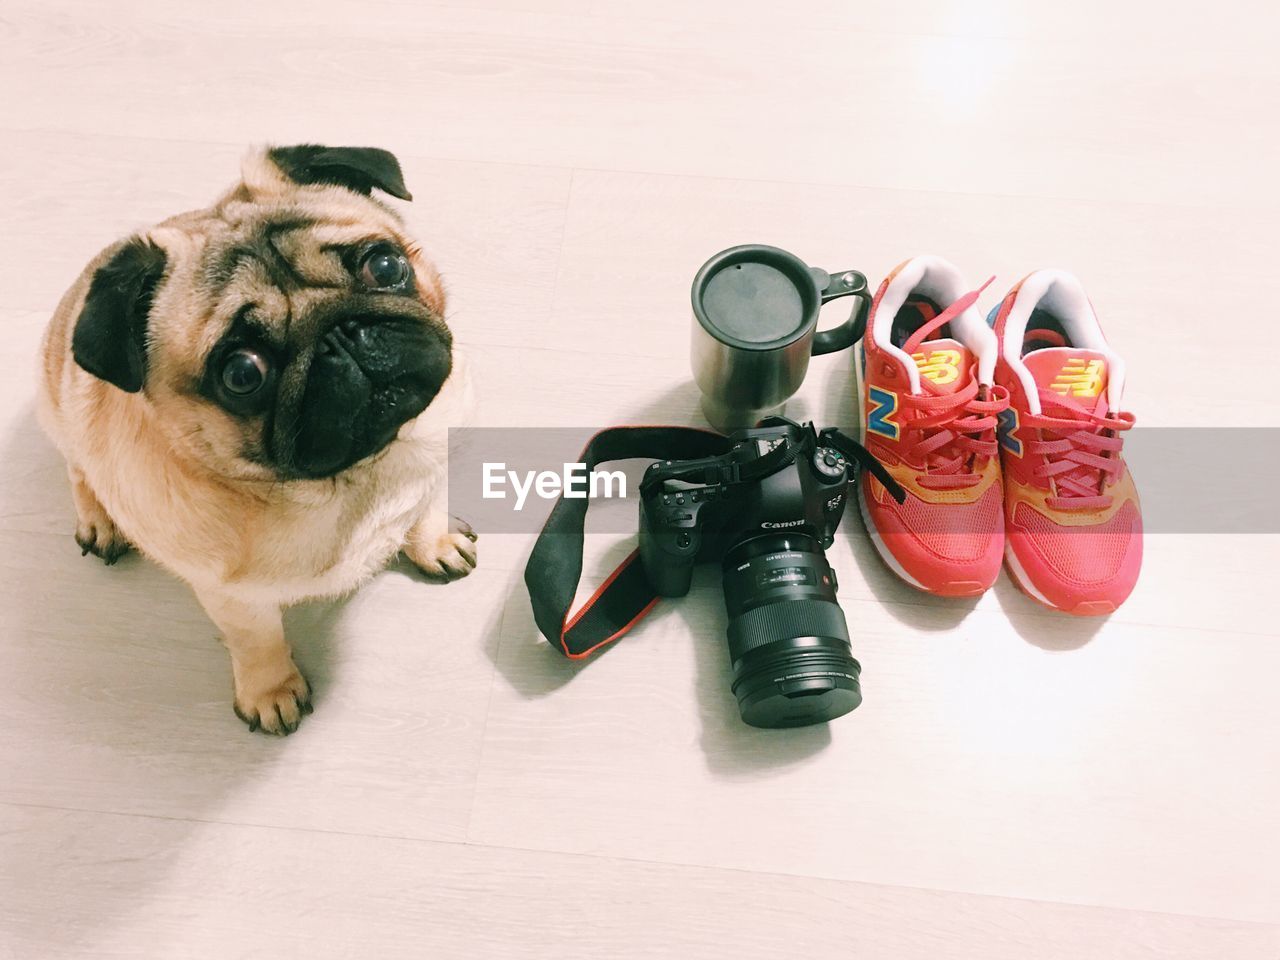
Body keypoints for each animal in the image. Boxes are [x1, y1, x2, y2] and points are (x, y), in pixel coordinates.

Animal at [41, 144, 481, 737]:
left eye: (386, 266)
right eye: (243, 374)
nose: (341, 336)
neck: (360, 475)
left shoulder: (433, 463)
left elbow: (427, 507)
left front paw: (434, 543)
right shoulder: (230, 595)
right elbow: (257, 640)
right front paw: (271, 691)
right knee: (78, 468)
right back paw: (100, 520)